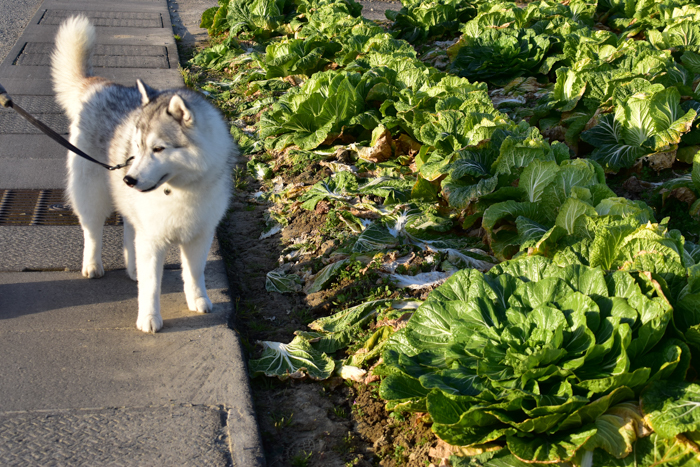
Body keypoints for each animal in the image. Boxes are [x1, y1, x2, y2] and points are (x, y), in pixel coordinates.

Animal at [51, 15, 238, 332]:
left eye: (158, 149)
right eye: (137, 147)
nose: (129, 178)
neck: (180, 188)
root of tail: (99, 84)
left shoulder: (200, 234)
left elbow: (195, 273)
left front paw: (197, 299)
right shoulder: (153, 239)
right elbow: (151, 286)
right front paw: (149, 317)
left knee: (129, 226)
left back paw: (133, 265)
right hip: (91, 192)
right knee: (92, 229)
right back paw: (92, 264)